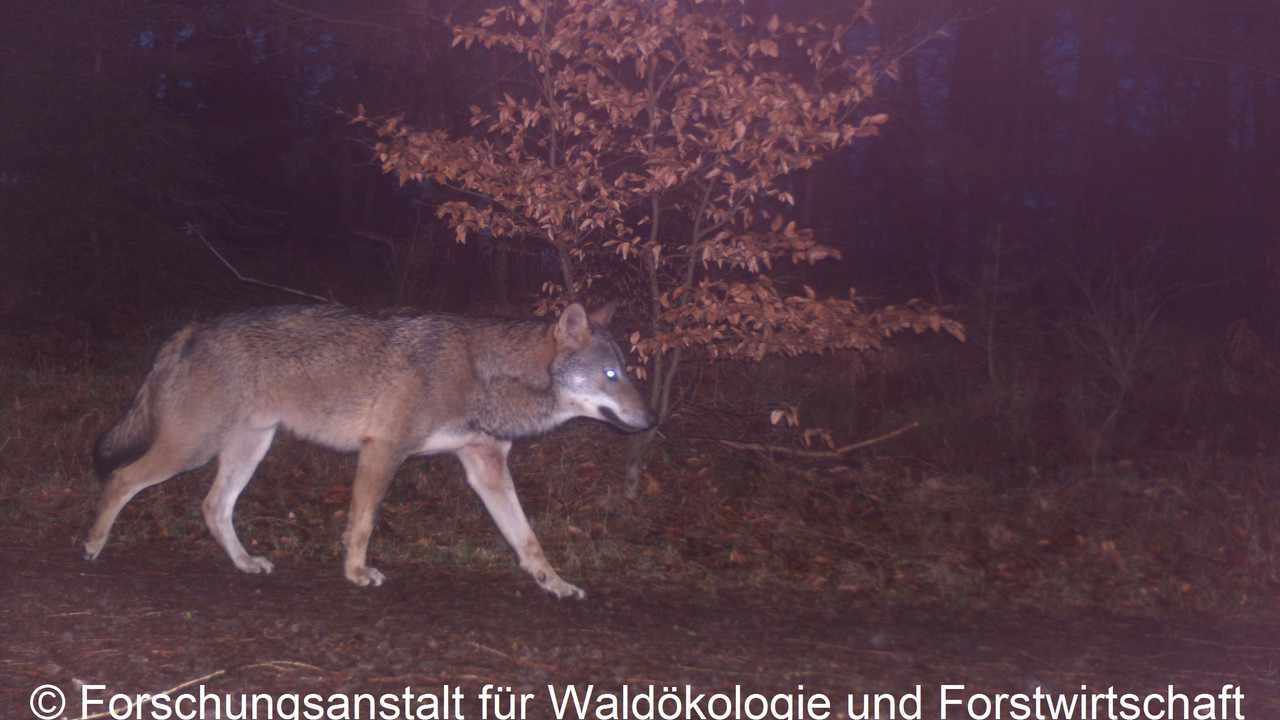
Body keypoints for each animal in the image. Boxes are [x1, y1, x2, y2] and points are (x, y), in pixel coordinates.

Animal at [85, 299, 655, 597]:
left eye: (626, 372)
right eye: (612, 375)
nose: (651, 420)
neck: (489, 376)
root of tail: (193, 328)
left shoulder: (485, 468)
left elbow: (528, 540)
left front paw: (554, 583)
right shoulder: (384, 451)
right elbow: (361, 522)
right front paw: (356, 573)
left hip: (248, 449)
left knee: (212, 507)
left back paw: (245, 564)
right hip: (192, 449)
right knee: (120, 478)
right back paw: (92, 544)